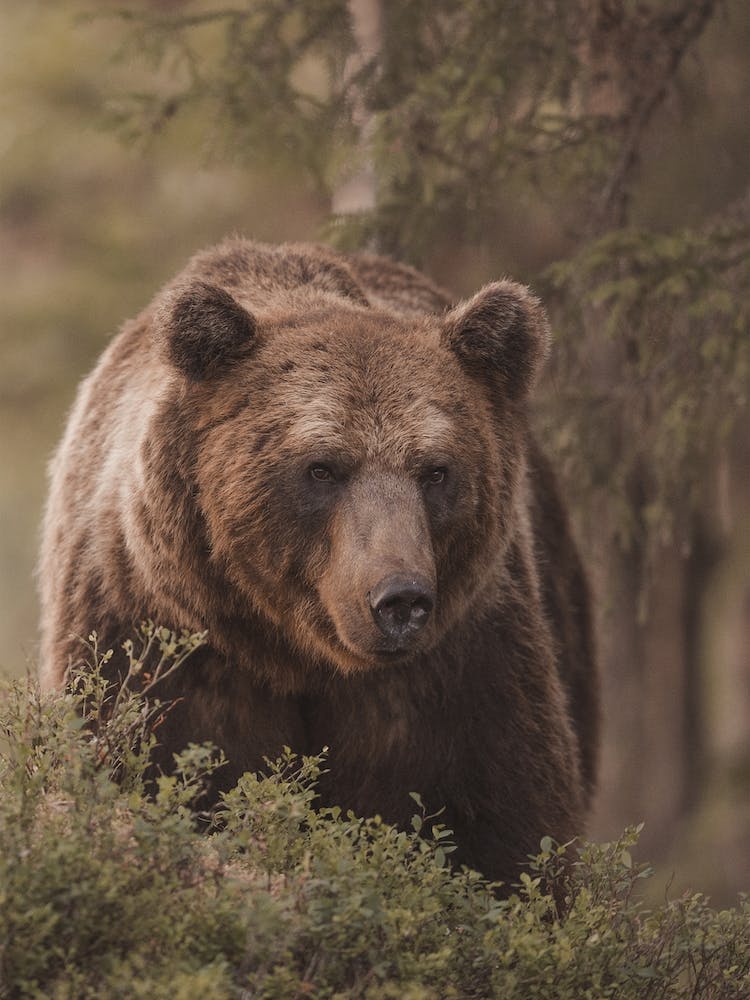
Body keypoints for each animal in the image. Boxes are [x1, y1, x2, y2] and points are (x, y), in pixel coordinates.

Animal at [39, 238, 598, 887]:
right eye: (322, 467)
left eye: (436, 470)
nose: (399, 599)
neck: (296, 652)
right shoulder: (155, 640)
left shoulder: (460, 670)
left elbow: (508, 832)